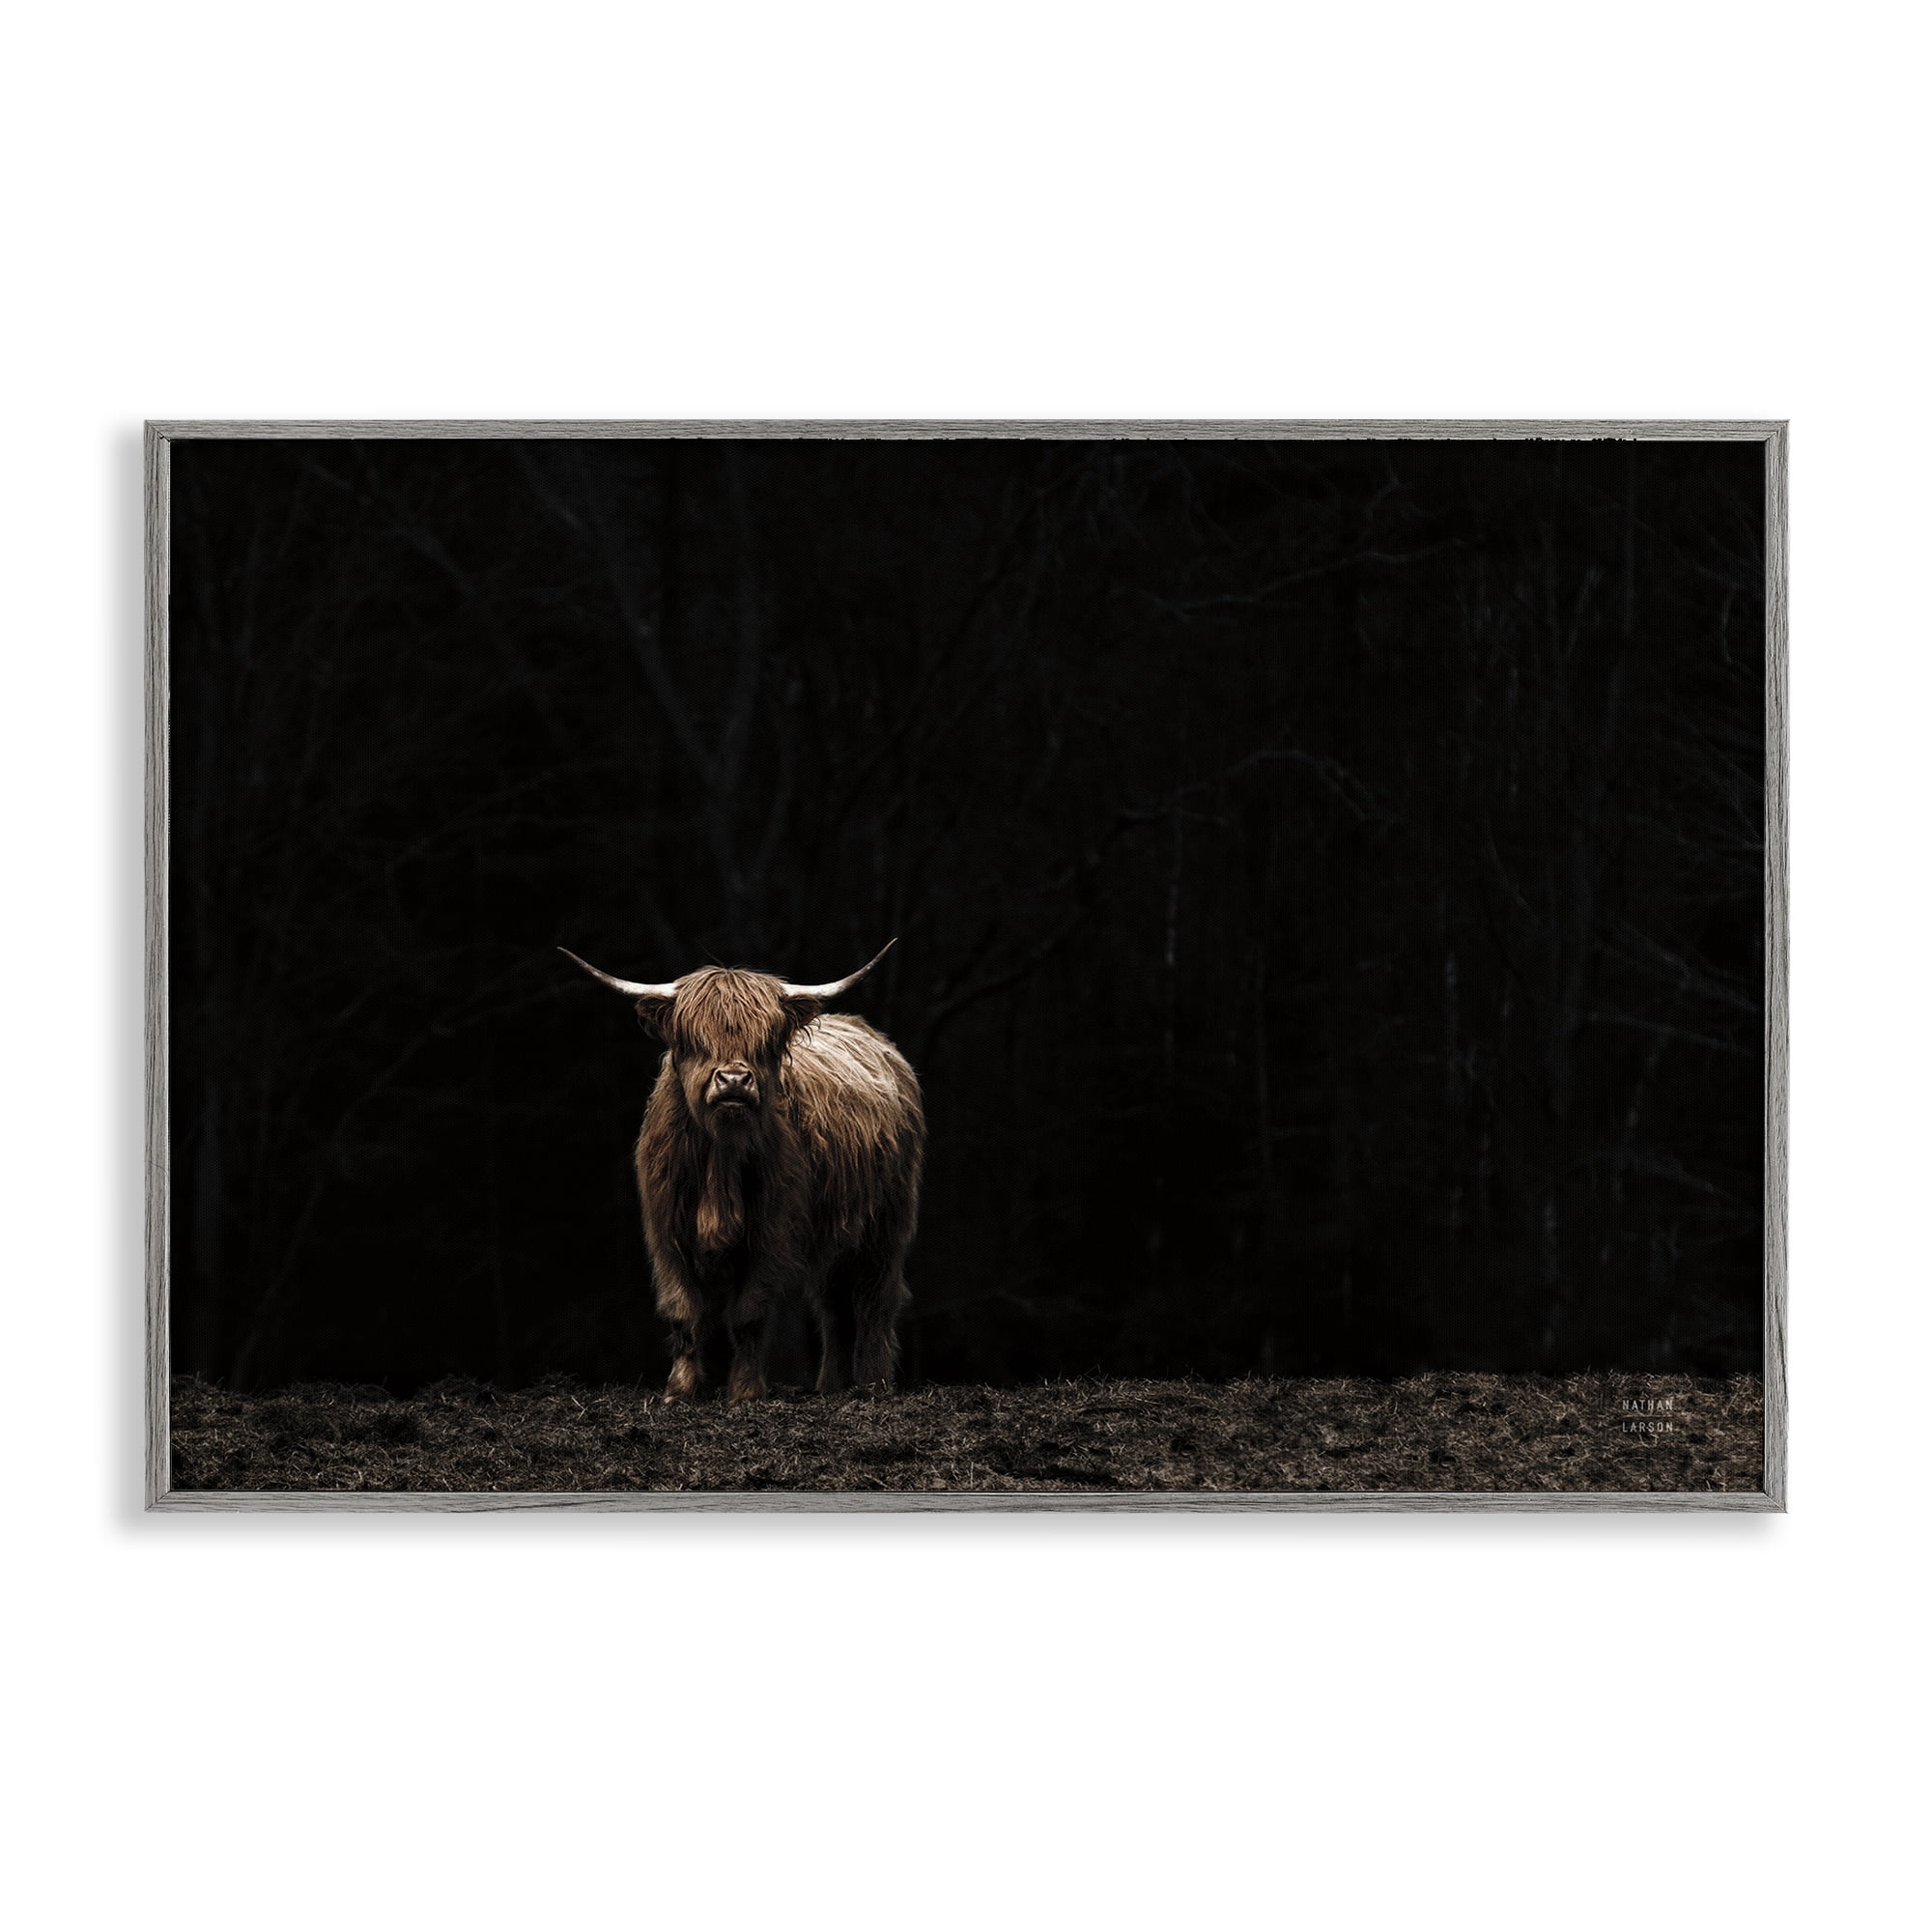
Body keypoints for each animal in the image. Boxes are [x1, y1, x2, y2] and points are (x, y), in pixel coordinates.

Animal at [561, 941, 923, 1403]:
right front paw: (679, 1391)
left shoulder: (771, 1233)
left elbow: (749, 1315)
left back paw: (874, 1384)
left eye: (766, 1041)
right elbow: (684, 1313)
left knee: (874, 1300)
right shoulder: (667, 1231)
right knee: (834, 1306)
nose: (734, 1080)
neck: (722, 1159)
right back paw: (830, 1387)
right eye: (694, 1039)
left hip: (886, 1222)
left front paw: (745, 1393)